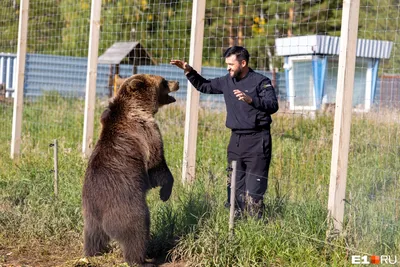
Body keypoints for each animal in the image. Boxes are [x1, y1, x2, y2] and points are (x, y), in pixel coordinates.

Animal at [82, 74, 179, 267]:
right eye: (164, 81)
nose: (177, 82)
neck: (139, 107)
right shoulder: (147, 132)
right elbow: (157, 165)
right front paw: (165, 193)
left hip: (89, 214)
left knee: (92, 236)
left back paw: (93, 253)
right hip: (126, 207)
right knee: (136, 231)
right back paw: (142, 260)